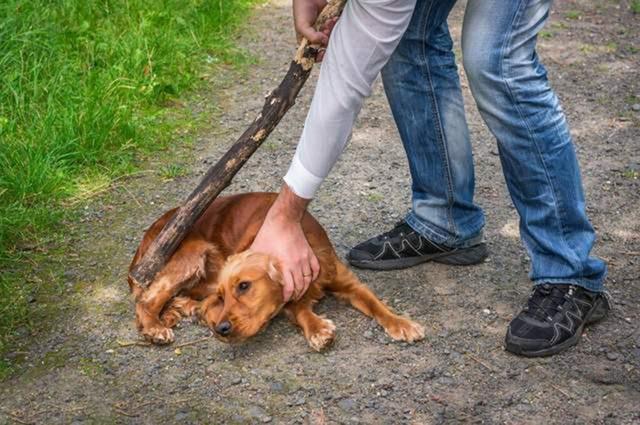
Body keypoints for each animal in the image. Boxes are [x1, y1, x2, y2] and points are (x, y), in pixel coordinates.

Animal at [128, 194, 424, 350]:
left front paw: (402, 323)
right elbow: (302, 311)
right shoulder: (289, 298)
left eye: (244, 286)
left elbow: (377, 304)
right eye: (225, 296)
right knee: (146, 299)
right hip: (193, 253)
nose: (221, 329)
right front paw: (319, 329)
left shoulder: (347, 282)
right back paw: (155, 327)